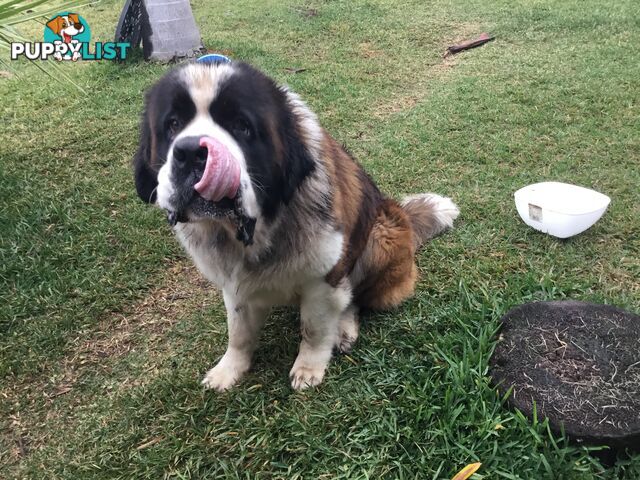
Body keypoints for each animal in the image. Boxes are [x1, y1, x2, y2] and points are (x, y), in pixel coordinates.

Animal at [132, 59, 460, 390]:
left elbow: (313, 328)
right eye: (173, 124)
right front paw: (229, 368)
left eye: (241, 126)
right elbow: (238, 332)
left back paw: (344, 328)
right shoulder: (234, 284)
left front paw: (308, 367)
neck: (258, 232)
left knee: (355, 298)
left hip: (381, 235)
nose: (190, 153)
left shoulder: (323, 279)